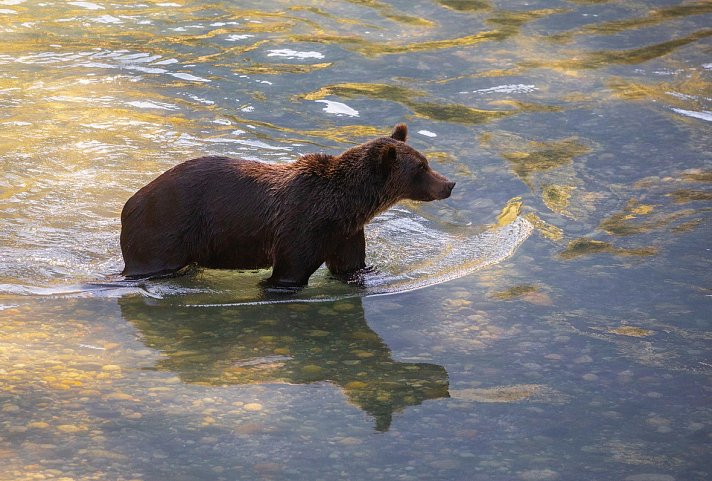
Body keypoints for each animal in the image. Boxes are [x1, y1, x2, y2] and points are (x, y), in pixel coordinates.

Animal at [121, 124, 456, 288]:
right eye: (422, 167)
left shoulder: (345, 232)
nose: (449, 184)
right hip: (164, 230)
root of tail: (129, 204)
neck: (346, 205)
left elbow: (350, 266)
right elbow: (289, 272)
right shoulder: (303, 226)